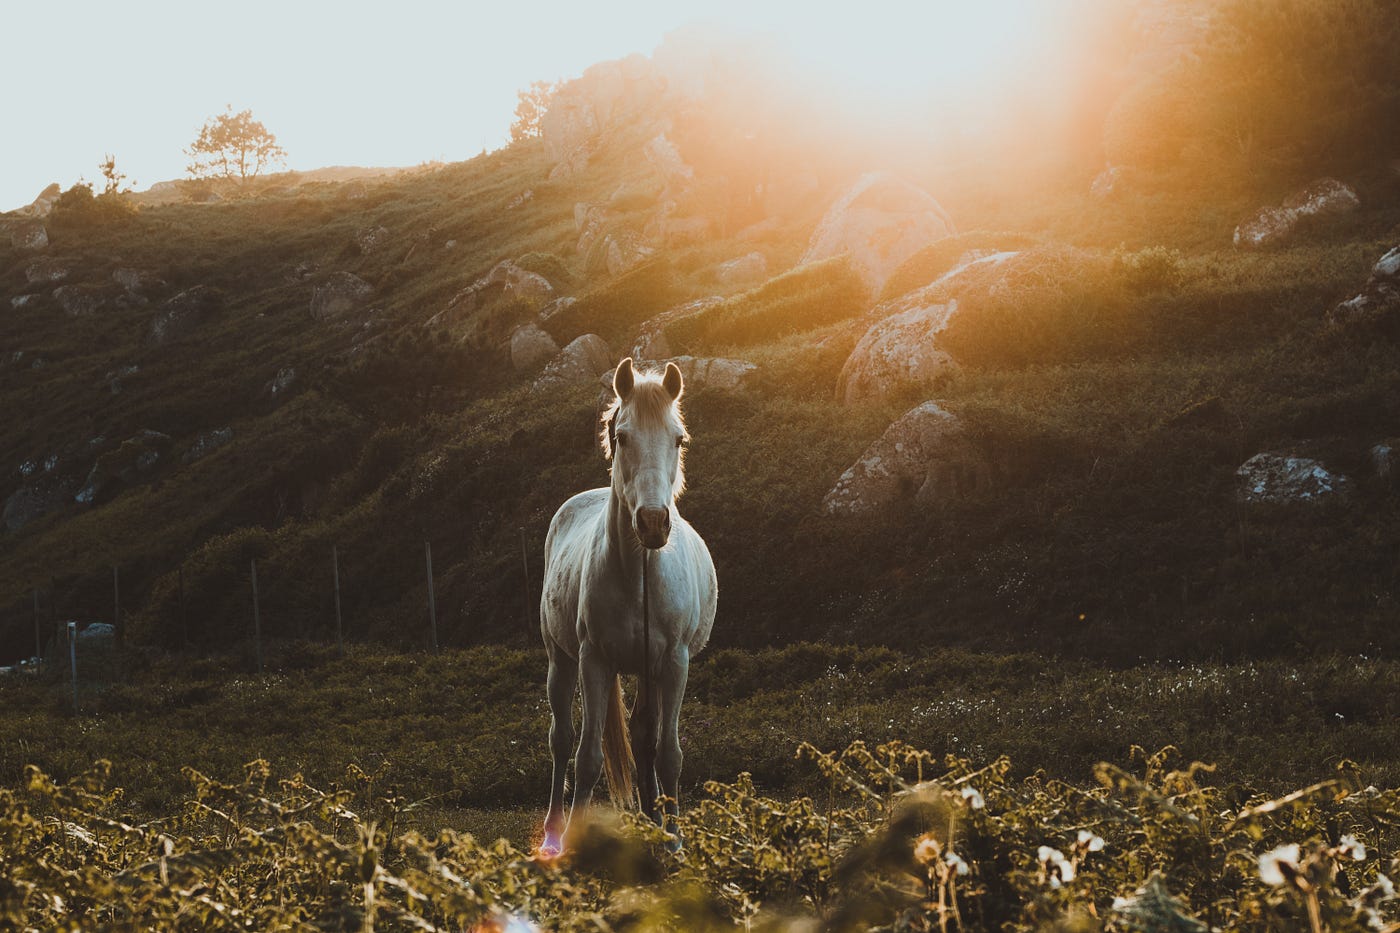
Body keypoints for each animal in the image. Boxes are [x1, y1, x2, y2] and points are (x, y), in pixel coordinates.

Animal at [538, 358, 717, 855]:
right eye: (622, 437)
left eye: (679, 439)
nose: (654, 523)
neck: (639, 576)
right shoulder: (594, 660)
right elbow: (587, 756)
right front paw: (574, 844)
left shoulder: (673, 663)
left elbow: (668, 754)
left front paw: (674, 842)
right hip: (561, 661)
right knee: (561, 741)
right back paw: (553, 833)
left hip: (647, 671)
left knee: (642, 740)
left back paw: (652, 823)